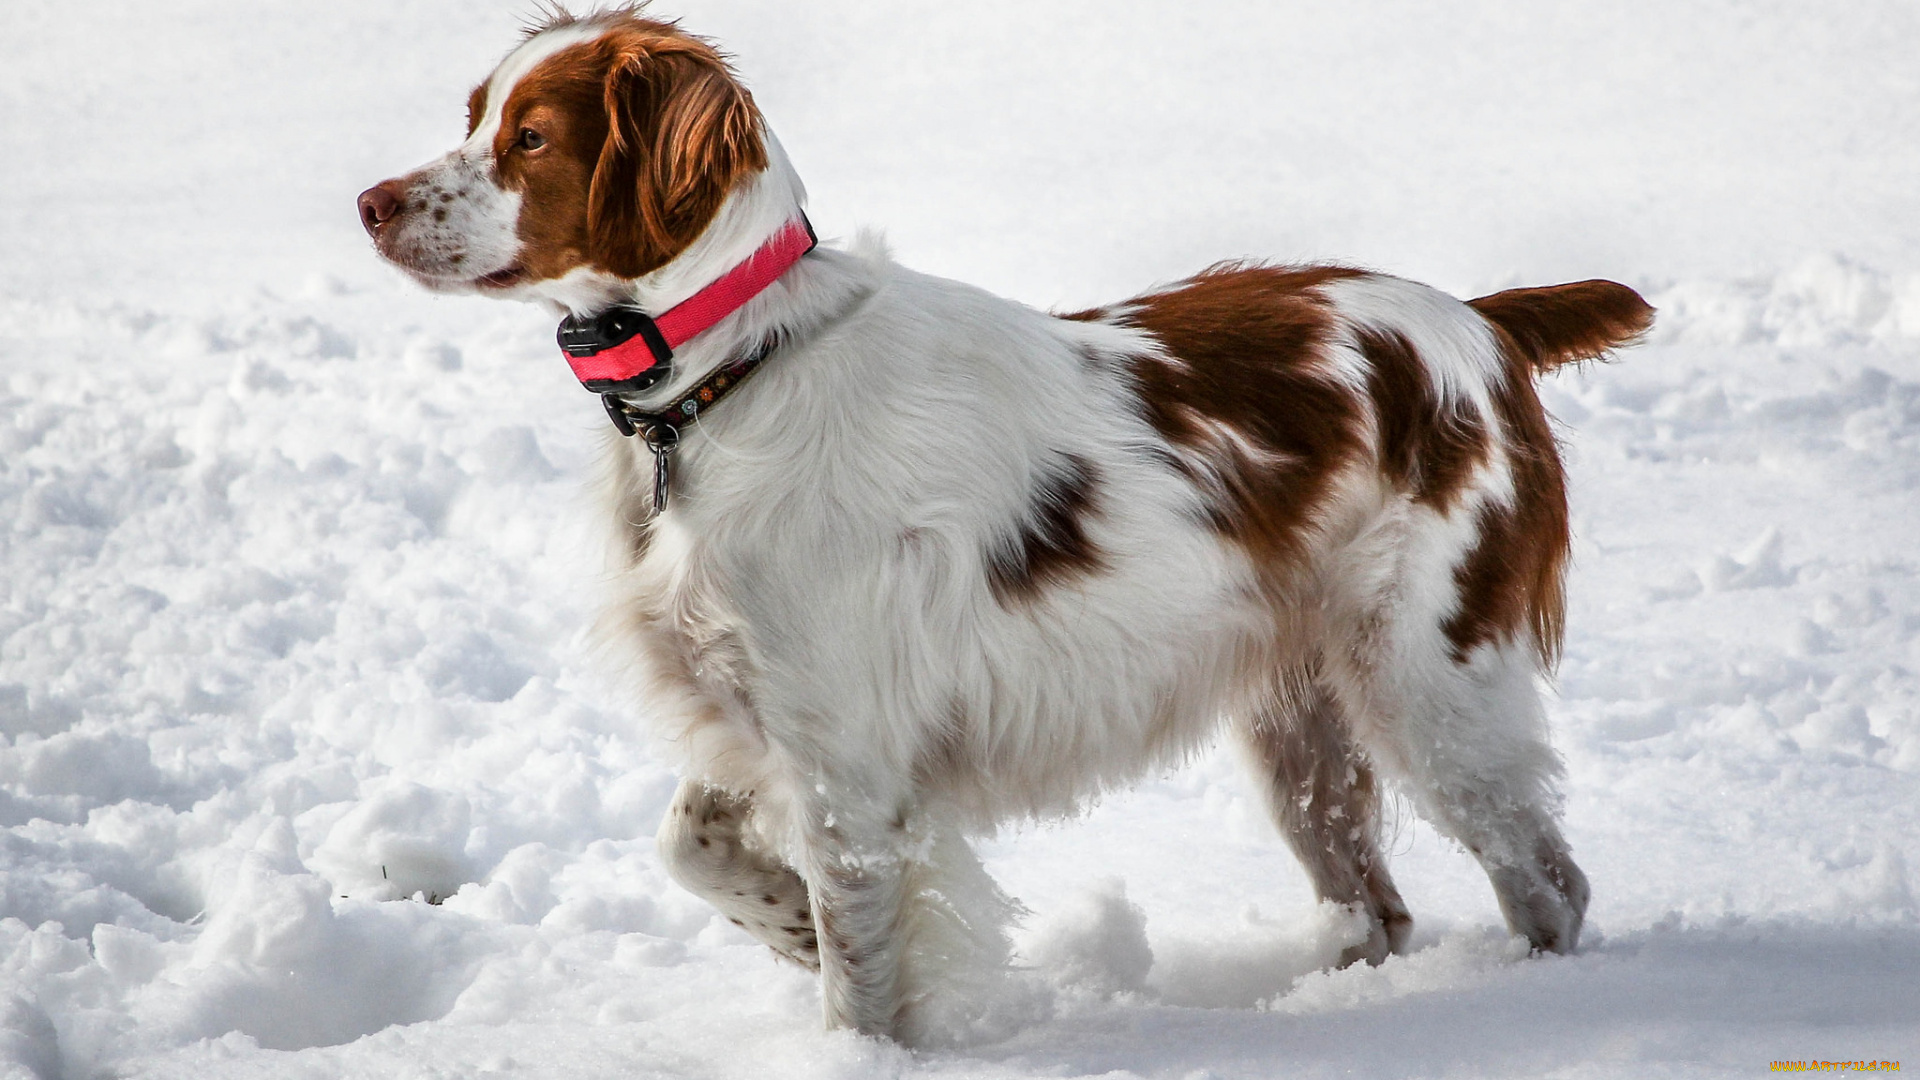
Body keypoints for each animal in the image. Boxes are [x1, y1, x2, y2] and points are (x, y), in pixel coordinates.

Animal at [357, 4, 1651, 1037]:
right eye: (476, 113)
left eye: (531, 136)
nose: (368, 201)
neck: (725, 379)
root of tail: (1479, 320)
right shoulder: (756, 720)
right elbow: (695, 849)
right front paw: (791, 935)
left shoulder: (848, 770)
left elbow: (860, 975)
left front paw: (855, 1031)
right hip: (1303, 730)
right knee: (1376, 905)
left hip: (1432, 686)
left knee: (1550, 882)